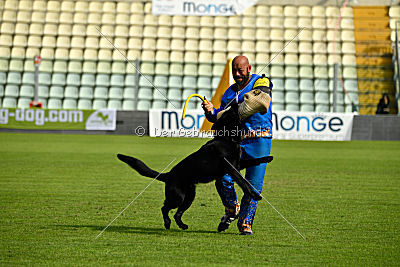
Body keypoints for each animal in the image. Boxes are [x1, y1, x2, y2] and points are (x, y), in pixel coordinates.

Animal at [116, 104, 272, 230]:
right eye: (229, 113)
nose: (234, 103)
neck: (227, 139)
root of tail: (168, 175)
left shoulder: (237, 165)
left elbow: (254, 160)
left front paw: (267, 158)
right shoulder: (233, 169)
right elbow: (245, 183)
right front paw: (255, 195)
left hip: (189, 197)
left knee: (177, 214)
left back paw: (182, 225)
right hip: (178, 198)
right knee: (164, 208)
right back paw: (167, 223)